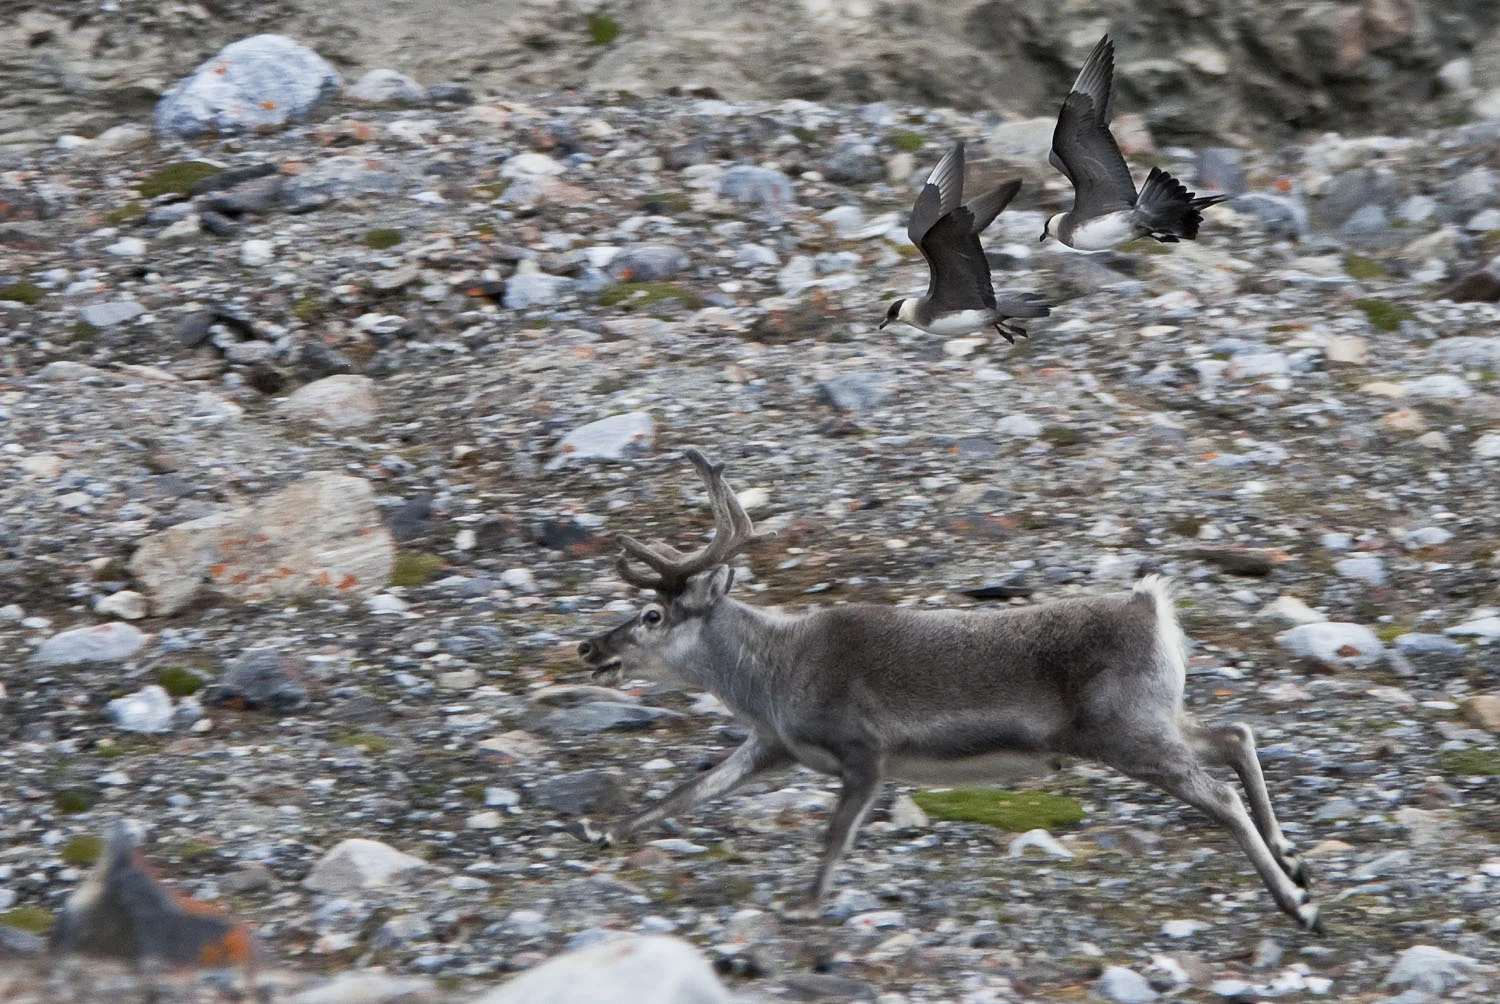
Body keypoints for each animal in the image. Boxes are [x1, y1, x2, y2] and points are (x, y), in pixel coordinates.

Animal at [572, 449, 1321, 932]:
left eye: (652, 615)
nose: (590, 648)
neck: (772, 673)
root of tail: (1153, 607)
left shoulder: (864, 753)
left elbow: (834, 836)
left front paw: (806, 904)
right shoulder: (773, 746)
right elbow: (691, 790)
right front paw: (607, 831)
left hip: (1125, 733)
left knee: (1219, 791)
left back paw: (1295, 902)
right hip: (1156, 718)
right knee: (1234, 735)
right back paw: (1292, 860)